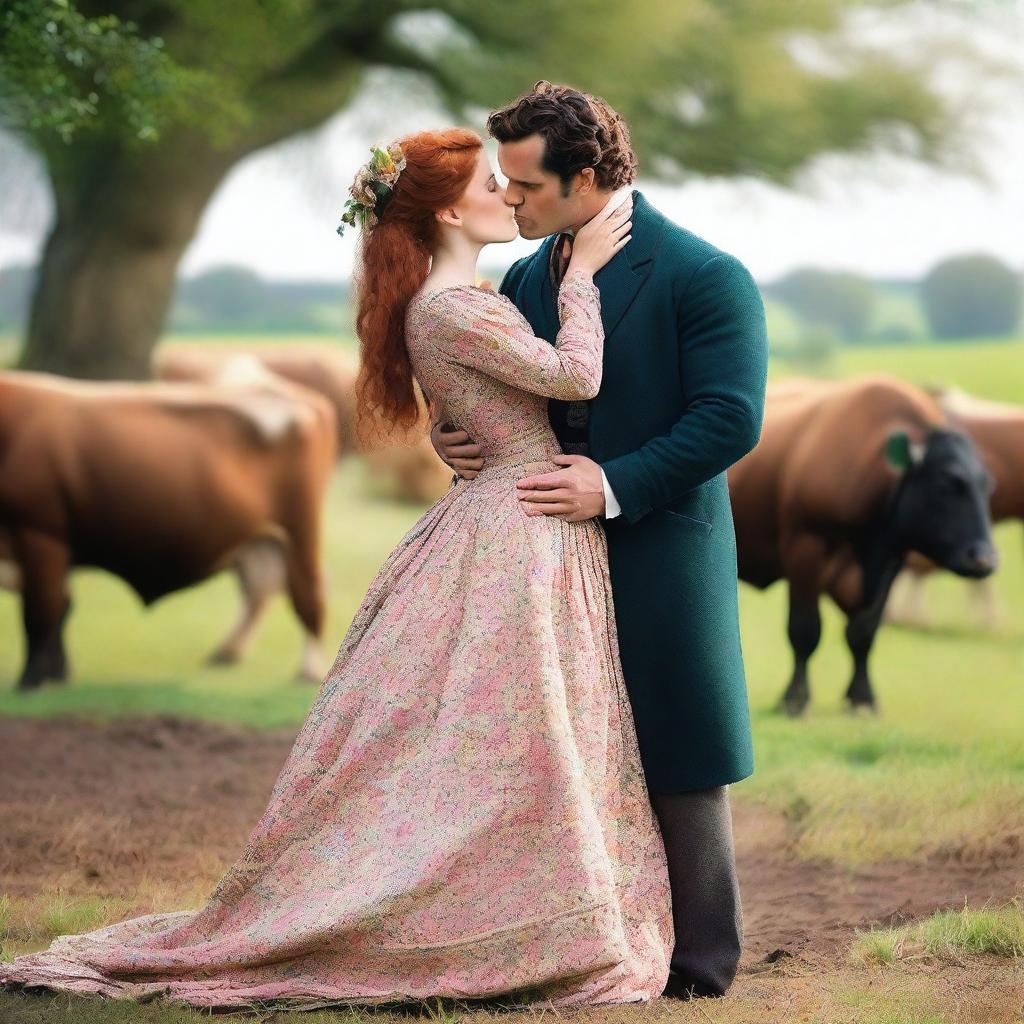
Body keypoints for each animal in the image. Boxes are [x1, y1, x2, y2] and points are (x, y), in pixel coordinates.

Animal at [0, 360, 333, 688]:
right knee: (261, 588)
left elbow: (40, 612)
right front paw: (57, 674)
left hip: (300, 532)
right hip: (261, 539)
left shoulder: (40, 532)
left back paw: (308, 670)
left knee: (308, 595)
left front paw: (30, 680)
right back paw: (227, 652)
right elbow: (62, 609)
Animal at [729, 372, 999, 716]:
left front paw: (862, 698)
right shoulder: (805, 549)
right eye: (945, 485)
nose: (983, 559)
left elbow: (863, 632)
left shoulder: (890, 560)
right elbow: (804, 630)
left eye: (988, 486)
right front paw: (795, 699)